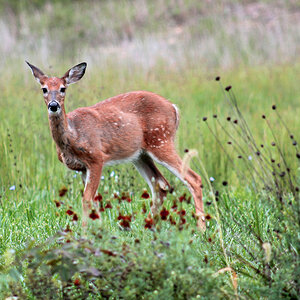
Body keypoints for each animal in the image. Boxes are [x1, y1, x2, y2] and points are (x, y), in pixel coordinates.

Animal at [26, 60, 206, 230]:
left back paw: (201, 228)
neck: (73, 135)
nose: (53, 105)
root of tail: (174, 108)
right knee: (161, 186)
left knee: (193, 179)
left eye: (63, 88)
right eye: (44, 89)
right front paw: (100, 231)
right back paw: (147, 226)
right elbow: (95, 200)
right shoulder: (83, 168)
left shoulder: (96, 158)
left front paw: (84, 233)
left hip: (161, 140)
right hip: (141, 155)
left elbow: (87, 199)